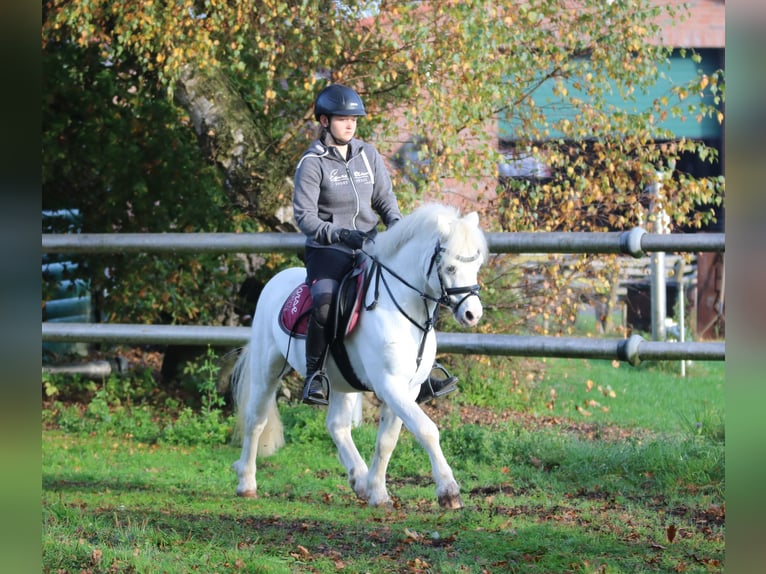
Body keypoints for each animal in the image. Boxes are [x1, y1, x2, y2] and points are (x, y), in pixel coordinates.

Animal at [231, 205, 488, 510]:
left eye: (476, 265)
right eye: (449, 267)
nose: (472, 314)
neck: (400, 305)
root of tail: (276, 281)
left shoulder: (409, 388)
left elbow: (386, 440)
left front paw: (378, 492)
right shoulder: (390, 385)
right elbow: (426, 430)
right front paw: (449, 491)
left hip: (341, 381)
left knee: (337, 426)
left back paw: (360, 480)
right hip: (267, 369)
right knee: (256, 420)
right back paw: (246, 484)